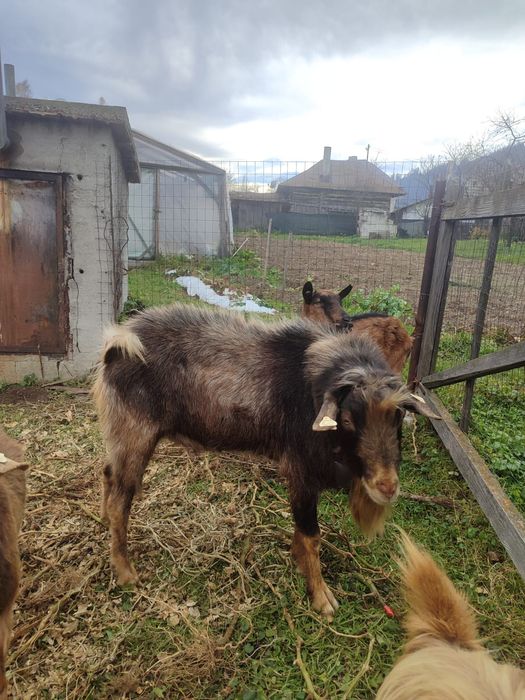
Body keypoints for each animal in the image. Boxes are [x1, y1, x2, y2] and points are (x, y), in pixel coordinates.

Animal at [93, 304, 436, 618]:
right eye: (348, 419)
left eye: (398, 415)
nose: (387, 486)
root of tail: (119, 343)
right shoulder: (301, 471)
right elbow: (312, 536)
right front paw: (321, 597)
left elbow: (301, 530)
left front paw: (298, 562)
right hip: (135, 435)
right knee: (121, 499)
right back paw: (125, 571)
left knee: (108, 474)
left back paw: (105, 522)